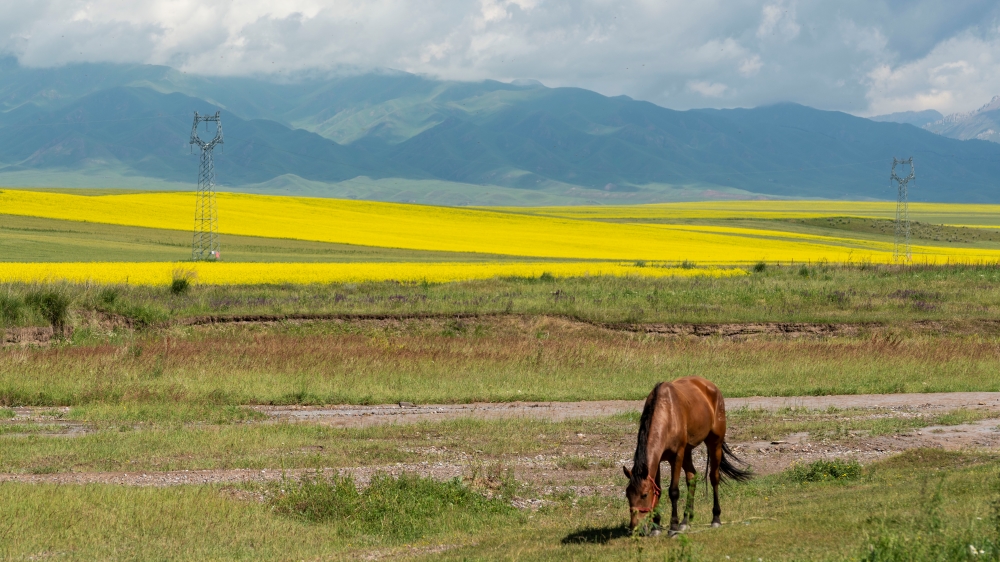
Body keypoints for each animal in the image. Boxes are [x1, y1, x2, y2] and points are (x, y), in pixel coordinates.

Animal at [616, 374, 752, 532]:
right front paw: (656, 527)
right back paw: (686, 520)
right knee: (692, 477)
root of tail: (711, 386)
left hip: (714, 443)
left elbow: (673, 491)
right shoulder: (658, 460)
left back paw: (715, 518)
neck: (667, 415)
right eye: (627, 494)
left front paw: (673, 526)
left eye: (644, 495)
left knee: (714, 478)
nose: (634, 527)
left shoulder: (677, 456)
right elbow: (659, 490)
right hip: (688, 451)